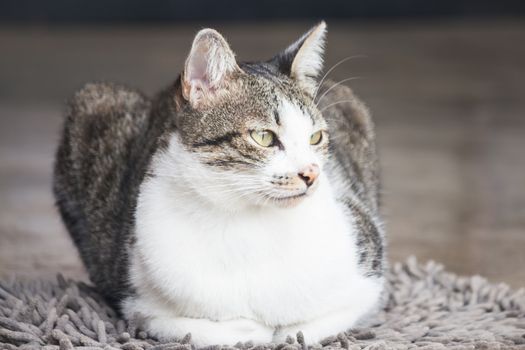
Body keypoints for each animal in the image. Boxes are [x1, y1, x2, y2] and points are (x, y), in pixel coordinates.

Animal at [54, 22, 384, 348]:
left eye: (315, 137)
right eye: (264, 137)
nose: (311, 173)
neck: (249, 222)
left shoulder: (368, 269)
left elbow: (316, 324)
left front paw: (289, 331)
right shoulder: (137, 301)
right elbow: (197, 328)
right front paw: (253, 331)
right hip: (93, 102)